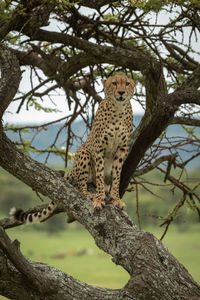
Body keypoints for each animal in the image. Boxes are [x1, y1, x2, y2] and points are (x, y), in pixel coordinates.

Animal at [9, 74, 134, 224]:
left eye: (127, 84)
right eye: (114, 83)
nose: (121, 92)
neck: (118, 109)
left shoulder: (122, 149)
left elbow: (116, 177)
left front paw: (116, 199)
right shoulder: (98, 148)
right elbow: (99, 174)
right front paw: (99, 199)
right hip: (83, 152)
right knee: (82, 185)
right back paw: (91, 194)